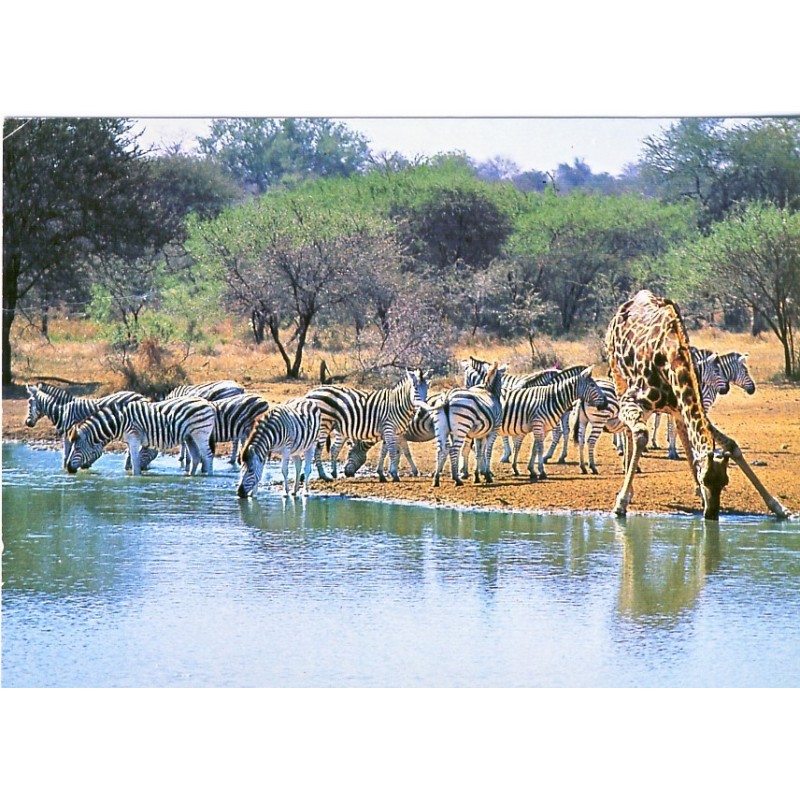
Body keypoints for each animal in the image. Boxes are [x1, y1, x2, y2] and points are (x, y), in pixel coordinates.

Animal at [605, 289, 790, 520]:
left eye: (725, 482)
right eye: (706, 480)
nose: (711, 514)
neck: (671, 358)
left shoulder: (684, 404)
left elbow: (731, 445)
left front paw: (778, 506)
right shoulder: (633, 398)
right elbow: (640, 435)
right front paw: (621, 502)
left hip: (674, 408)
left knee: (681, 432)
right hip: (619, 377)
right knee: (631, 431)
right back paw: (628, 484)